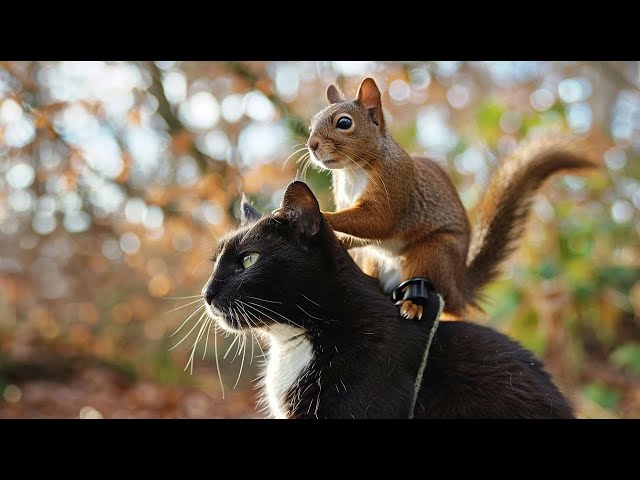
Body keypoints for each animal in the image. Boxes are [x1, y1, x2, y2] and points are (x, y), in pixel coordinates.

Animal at [308, 77, 604, 320]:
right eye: (311, 124)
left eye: (344, 123)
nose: (311, 145)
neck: (352, 170)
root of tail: (458, 288)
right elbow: (364, 233)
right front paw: (340, 239)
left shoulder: (394, 186)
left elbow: (377, 221)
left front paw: (323, 215)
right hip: (377, 260)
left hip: (433, 253)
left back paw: (412, 305)